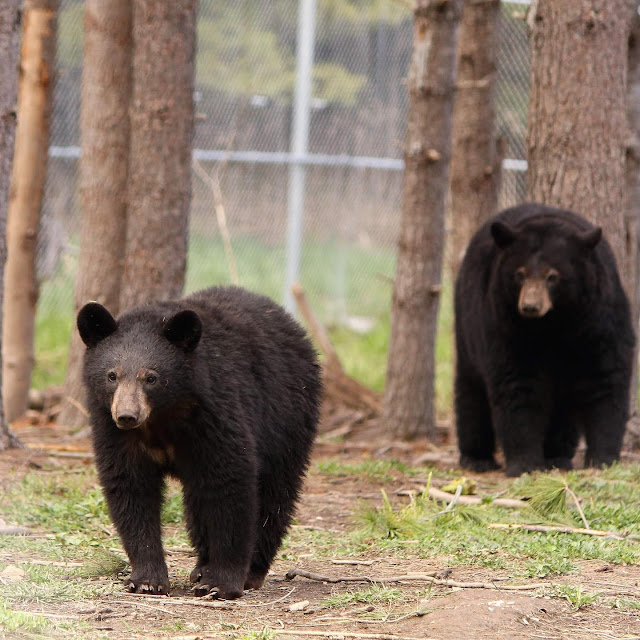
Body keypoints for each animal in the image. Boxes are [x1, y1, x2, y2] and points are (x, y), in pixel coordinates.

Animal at [77, 288, 322, 596]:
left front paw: (222, 583)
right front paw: (147, 579)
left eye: (151, 377)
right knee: (198, 500)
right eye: (112, 375)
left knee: (275, 495)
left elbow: (230, 484)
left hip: (286, 417)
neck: (162, 417)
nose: (127, 415)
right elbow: (130, 488)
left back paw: (251, 571)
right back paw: (201, 567)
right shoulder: (114, 433)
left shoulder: (215, 413)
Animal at [456, 202, 636, 478]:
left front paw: (603, 458)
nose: (530, 306)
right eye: (520, 273)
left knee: (563, 407)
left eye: (553, 276)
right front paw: (525, 464)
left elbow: (606, 377)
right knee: (471, 392)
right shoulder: (505, 322)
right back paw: (476, 458)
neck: (553, 325)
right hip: (467, 326)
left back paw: (557, 455)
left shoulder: (599, 318)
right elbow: (518, 383)